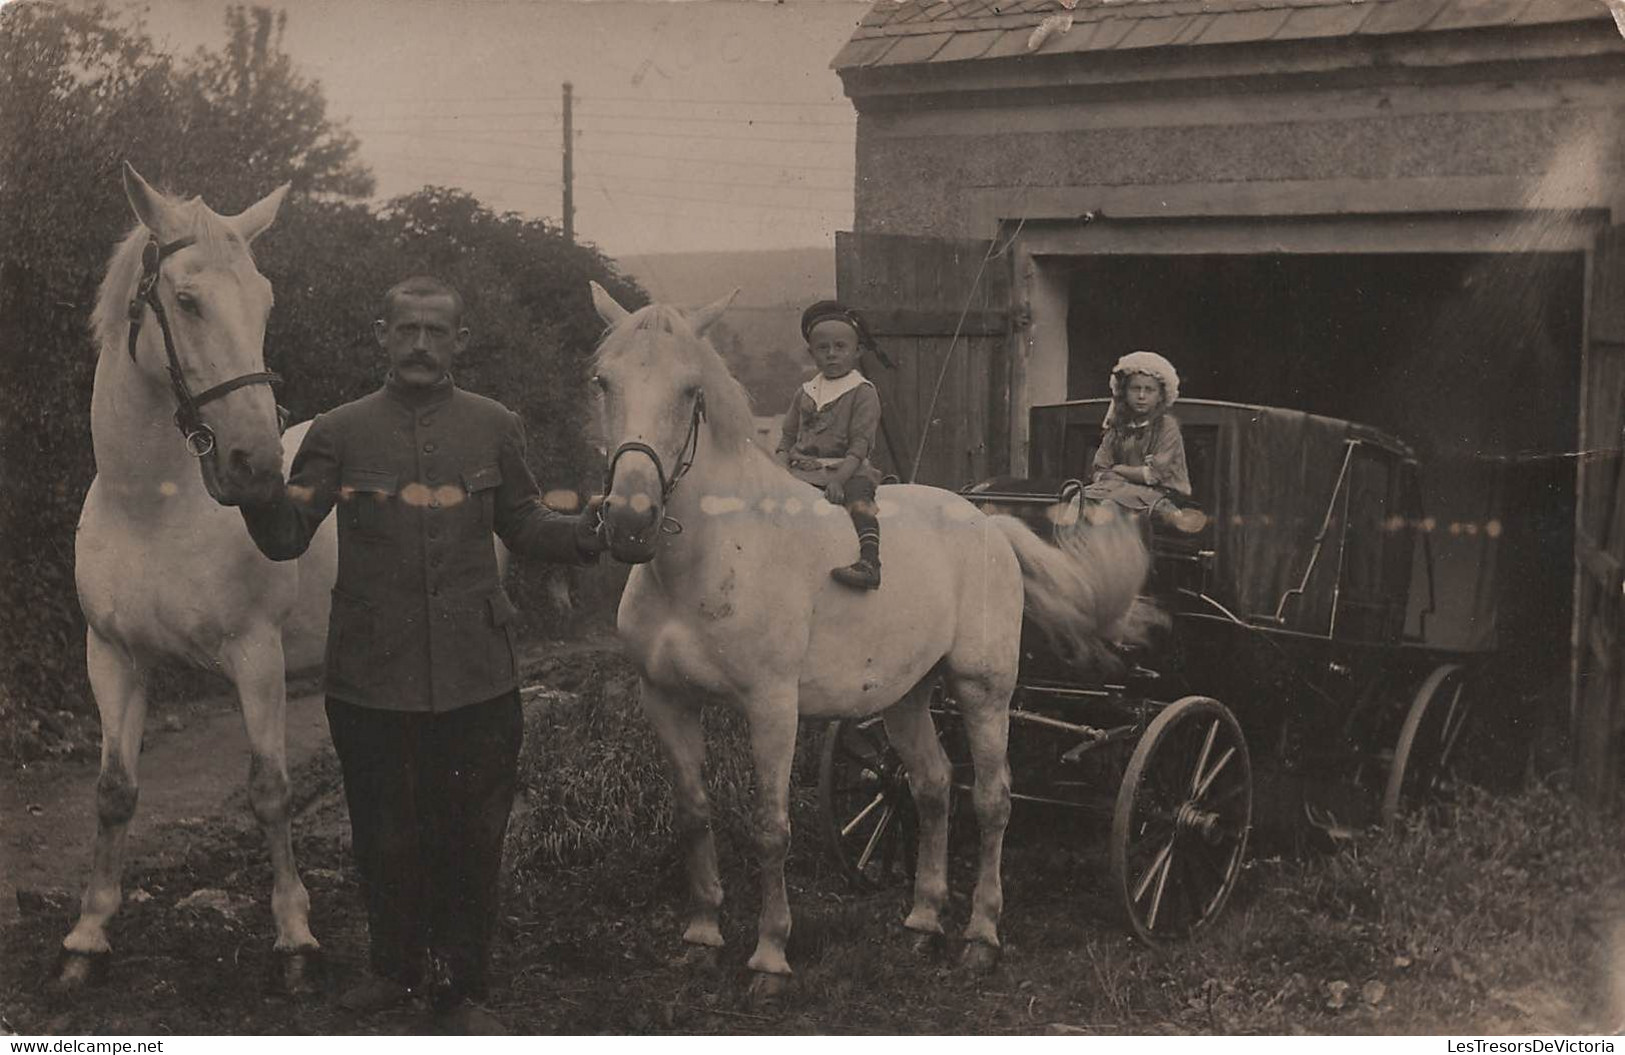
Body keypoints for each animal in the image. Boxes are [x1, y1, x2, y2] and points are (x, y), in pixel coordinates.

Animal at [59, 162, 336, 988]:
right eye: (186, 301)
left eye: (265, 300)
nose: (257, 466)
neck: (152, 508)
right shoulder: (113, 658)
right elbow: (114, 791)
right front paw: (88, 935)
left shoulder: (257, 657)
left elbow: (270, 790)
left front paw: (294, 937)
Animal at [591, 284, 1150, 994]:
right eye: (603, 381)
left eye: (691, 390)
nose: (630, 521)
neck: (712, 555)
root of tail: (990, 524)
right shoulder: (664, 700)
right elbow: (693, 813)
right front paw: (701, 937)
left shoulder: (772, 708)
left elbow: (772, 828)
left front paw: (770, 957)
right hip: (907, 695)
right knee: (934, 786)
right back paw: (922, 921)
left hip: (984, 690)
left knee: (992, 801)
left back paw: (981, 935)